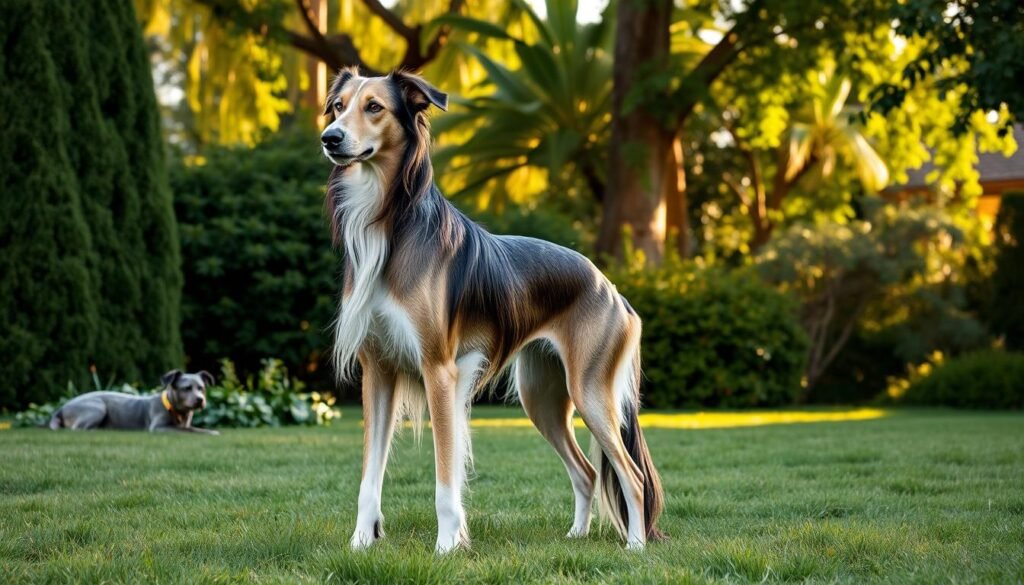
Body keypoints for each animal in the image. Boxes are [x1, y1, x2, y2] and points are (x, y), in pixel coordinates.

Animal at [48, 370, 220, 434]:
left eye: (201, 388)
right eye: (186, 388)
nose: (200, 400)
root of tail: (61, 408)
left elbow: (193, 428)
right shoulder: (158, 427)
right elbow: (188, 431)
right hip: (98, 407)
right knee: (77, 428)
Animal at [323, 68, 667, 553]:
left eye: (374, 107)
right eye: (338, 106)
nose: (329, 138)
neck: (390, 227)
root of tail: (611, 288)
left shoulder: (440, 371)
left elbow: (445, 479)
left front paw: (447, 548)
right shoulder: (378, 371)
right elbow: (369, 478)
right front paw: (361, 544)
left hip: (589, 392)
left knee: (631, 477)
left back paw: (635, 547)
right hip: (541, 398)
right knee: (588, 472)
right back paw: (576, 535)